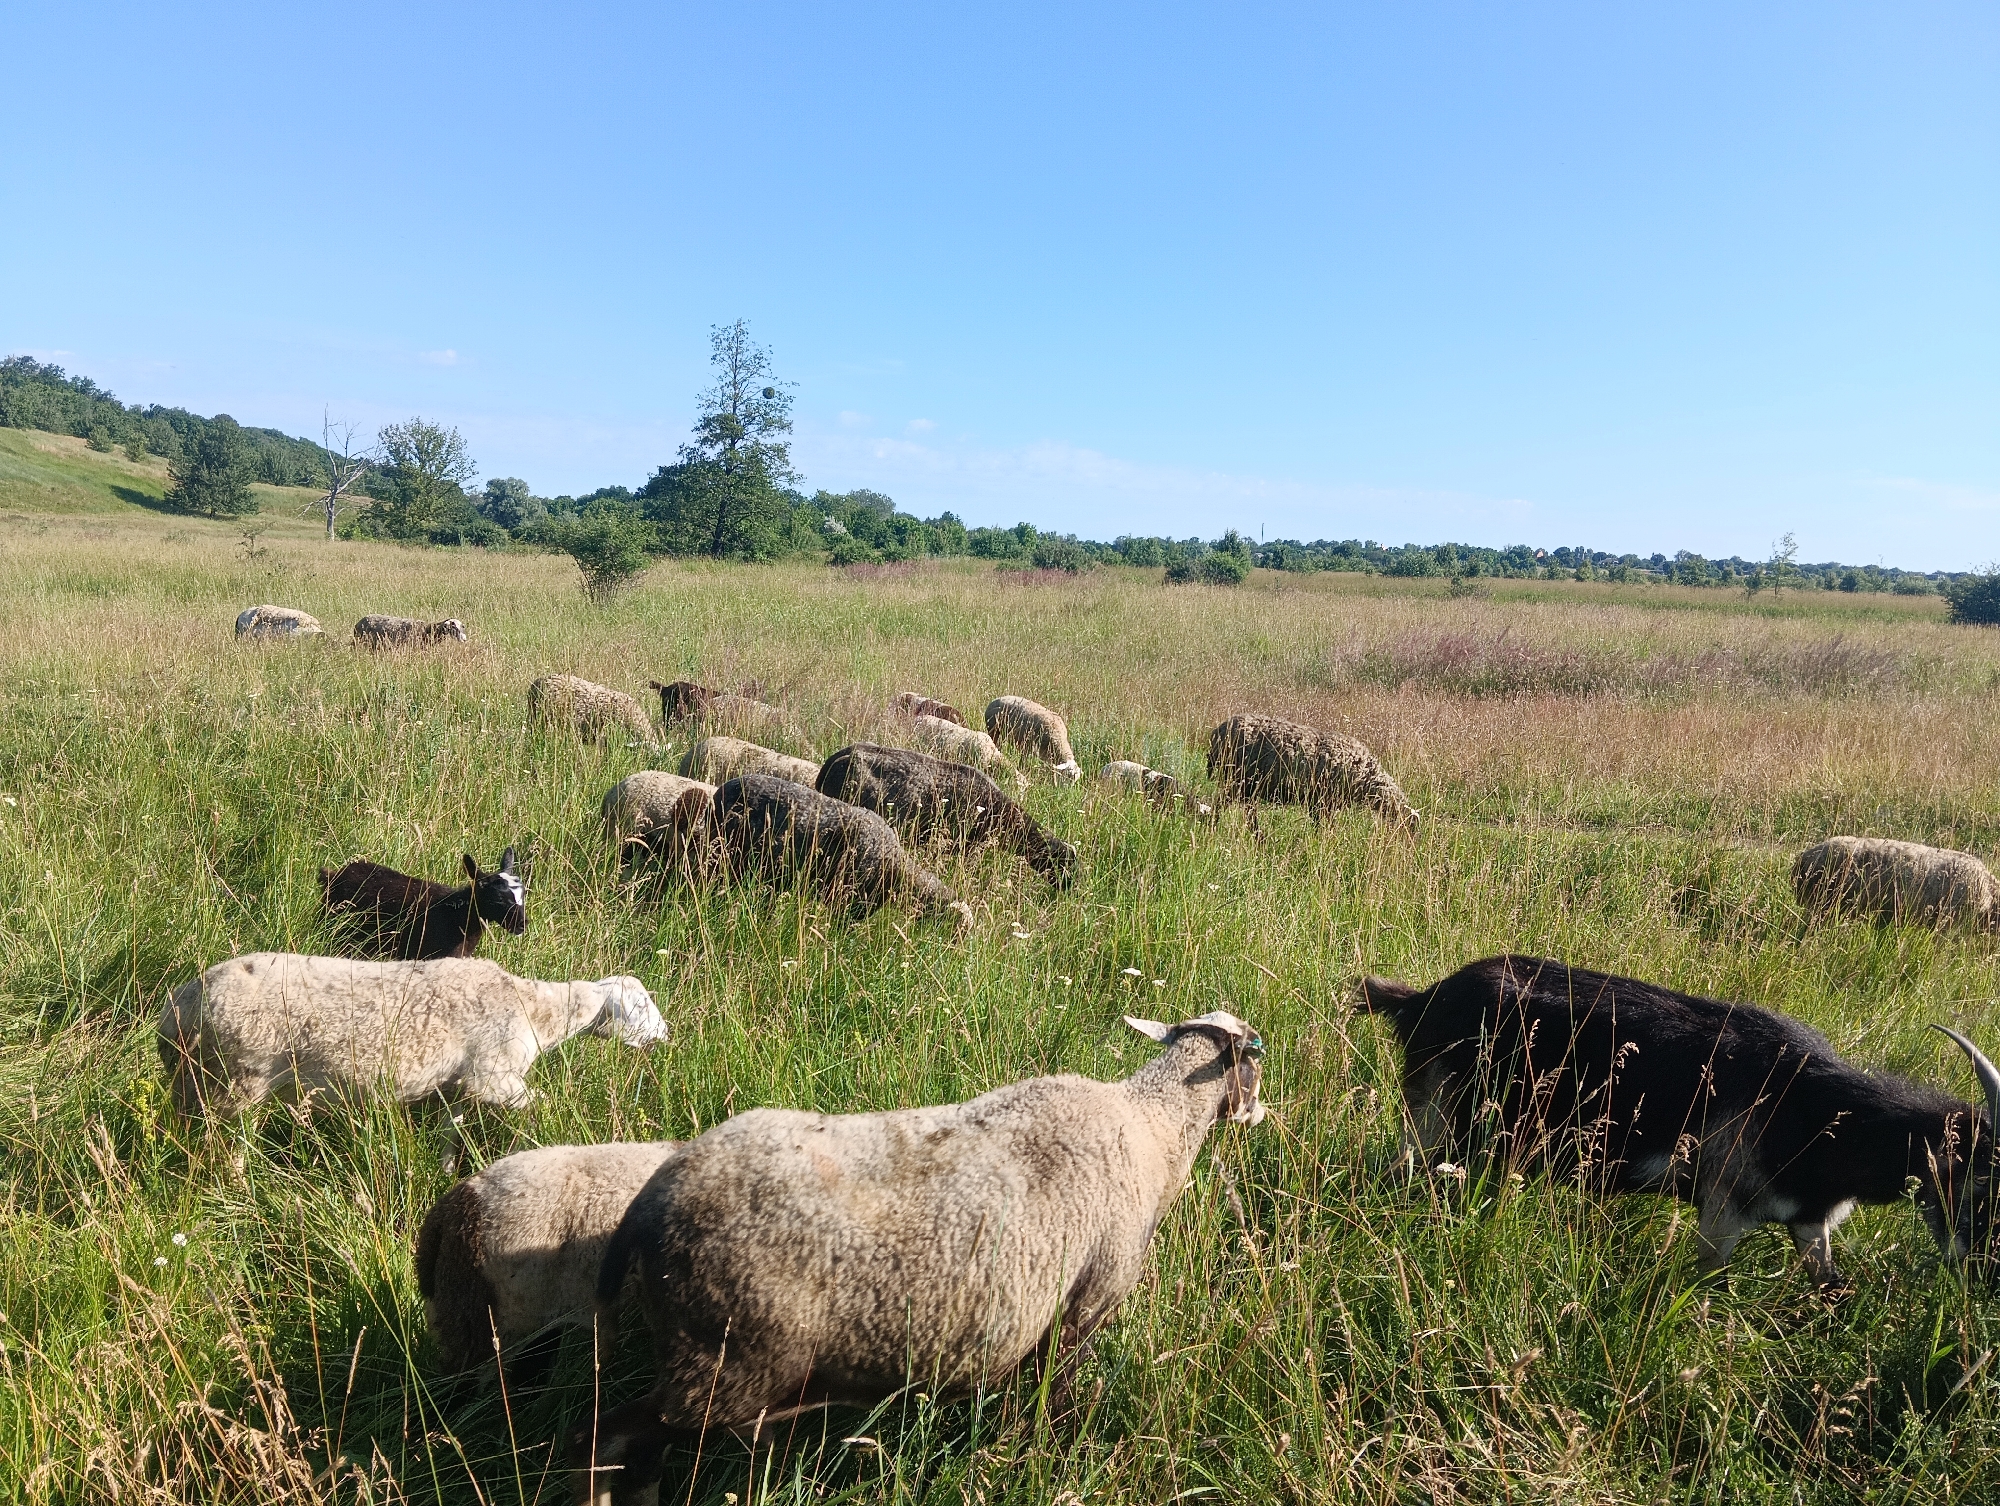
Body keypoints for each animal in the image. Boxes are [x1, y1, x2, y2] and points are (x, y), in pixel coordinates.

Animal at [159, 954, 668, 1117]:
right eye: (642, 1004)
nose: (665, 1037)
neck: (535, 1010)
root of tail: (179, 1007)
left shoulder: (461, 1085)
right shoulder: (494, 1074)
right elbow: (540, 1105)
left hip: (196, 1082)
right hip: (235, 1080)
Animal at [569, 1011, 1265, 1501]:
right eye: (1255, 1060)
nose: (1256, 1114)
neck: (1151, 1128)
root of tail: (653, 1198)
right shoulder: (1083, 1307)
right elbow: (1057, 1404)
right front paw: (1052, 1459)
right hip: (723, 1361)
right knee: (603, 1437)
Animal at [1356, 954, 2000, 1291]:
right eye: (1984, 1186)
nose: (1982, 1277)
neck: (1812, 1105)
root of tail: (1420, 1000)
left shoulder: (1810, 1225)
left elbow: (1830, 1287)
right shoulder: (1722, 1211)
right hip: (1436, 1116)